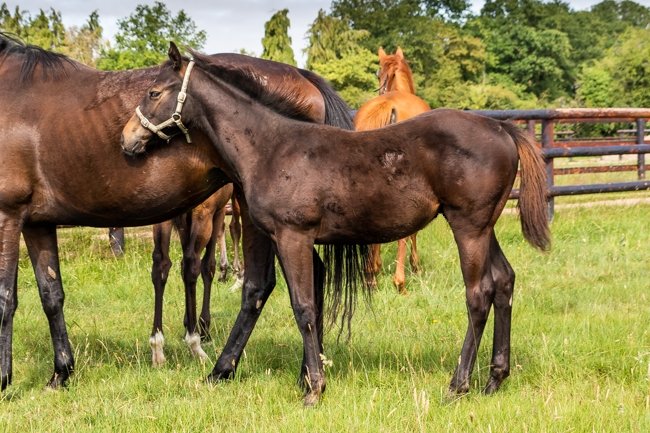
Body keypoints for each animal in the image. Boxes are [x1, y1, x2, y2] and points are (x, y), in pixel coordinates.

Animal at [0, 32, 353, 391]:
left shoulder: (7, 214)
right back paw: (304, 371)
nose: (126, 139)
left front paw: (4, 378)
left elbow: (5, 297)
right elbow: (51, 294)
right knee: (308, 277)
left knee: (259, 285)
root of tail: (303, 76)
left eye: (154, 93)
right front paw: (60, 372)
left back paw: (232, 368)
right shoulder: (37, 223)